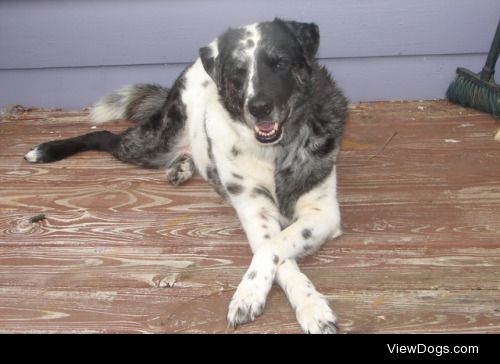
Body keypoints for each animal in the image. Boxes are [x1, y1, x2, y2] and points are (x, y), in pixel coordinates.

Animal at [25, 18, 350, 334]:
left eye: (280, 63)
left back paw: (182, 166)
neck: (273, 151)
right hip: (153, 142)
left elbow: (276, 246)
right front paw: (254, 295)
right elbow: (273, 251)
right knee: (104, 135)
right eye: (238, 72)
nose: (259, 108)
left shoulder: (323, 212)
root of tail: (194, 64)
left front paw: (308, 306)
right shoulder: (254, 212)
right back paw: (46, 150)